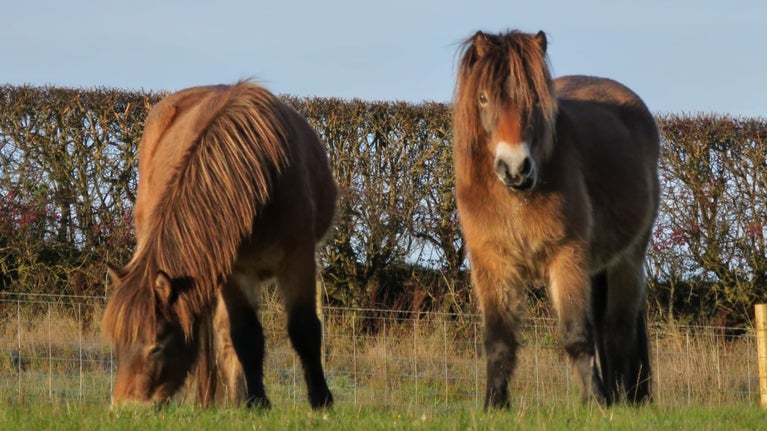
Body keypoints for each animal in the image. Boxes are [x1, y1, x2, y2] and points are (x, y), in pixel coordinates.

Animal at [103, 81, 337, 409]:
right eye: (118, 344)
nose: (125, 407)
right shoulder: (233, 270)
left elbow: (304, 328)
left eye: (157, 346)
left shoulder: (298, 259)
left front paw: (321, 400)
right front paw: (256, 402)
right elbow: (245, 336)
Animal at [452, 30, 660, 408]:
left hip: (627, 260)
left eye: (535, 99)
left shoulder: (567, 258)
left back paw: (623, 399)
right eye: (483, 98)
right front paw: (494, 404)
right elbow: (499, 339)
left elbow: (577, 335)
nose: (515, 168)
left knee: (618, 330)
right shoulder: (492, 265)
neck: (513, 199)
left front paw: (596, 402)